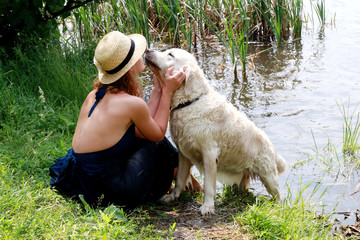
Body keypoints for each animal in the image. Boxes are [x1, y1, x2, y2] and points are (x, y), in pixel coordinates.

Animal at [144, 47, 286, 215]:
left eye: (170, 54)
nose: (147, 49)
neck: (189, 103)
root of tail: (272, 148)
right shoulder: (183, 153)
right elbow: (179, 179)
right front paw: (173, 197)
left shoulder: (209, 154)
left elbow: (208, 185)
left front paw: (207, 206)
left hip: (268, 176)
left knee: (278, 195)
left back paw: (278, 208)